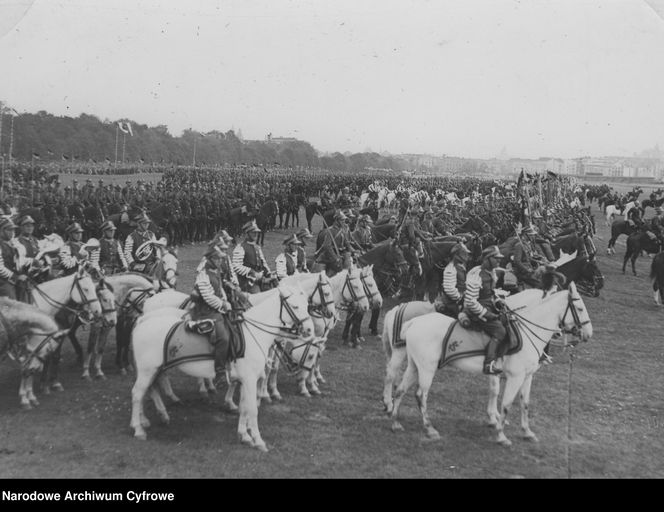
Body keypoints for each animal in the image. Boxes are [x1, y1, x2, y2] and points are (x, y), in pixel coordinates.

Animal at [132, 282, 316, 450]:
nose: (309, 330)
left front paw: (244, 435)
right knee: (137, 394)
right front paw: (258, 440)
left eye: (307, 305)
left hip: (154, 370)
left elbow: (243, 407)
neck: (253, 333)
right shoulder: (250, 380)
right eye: (295, 306)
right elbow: (252, 409)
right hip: (147, 370)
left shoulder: (245, 381)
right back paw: (138, 429)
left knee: (149, 390)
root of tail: (142, 320)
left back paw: (151, 419)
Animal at [390, 282, 592, 446]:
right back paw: (429, 428)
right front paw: (501, 436)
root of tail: (413, 322)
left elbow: (524, 403)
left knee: (400, 389)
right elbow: (506, 404)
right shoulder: (515, 376)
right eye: (580, 308)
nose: (588, 334)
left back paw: (395, 422)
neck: (527, 332)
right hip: (427, 369)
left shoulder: (527, 376)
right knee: (420, 395)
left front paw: (527, 432)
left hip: (414, 366)